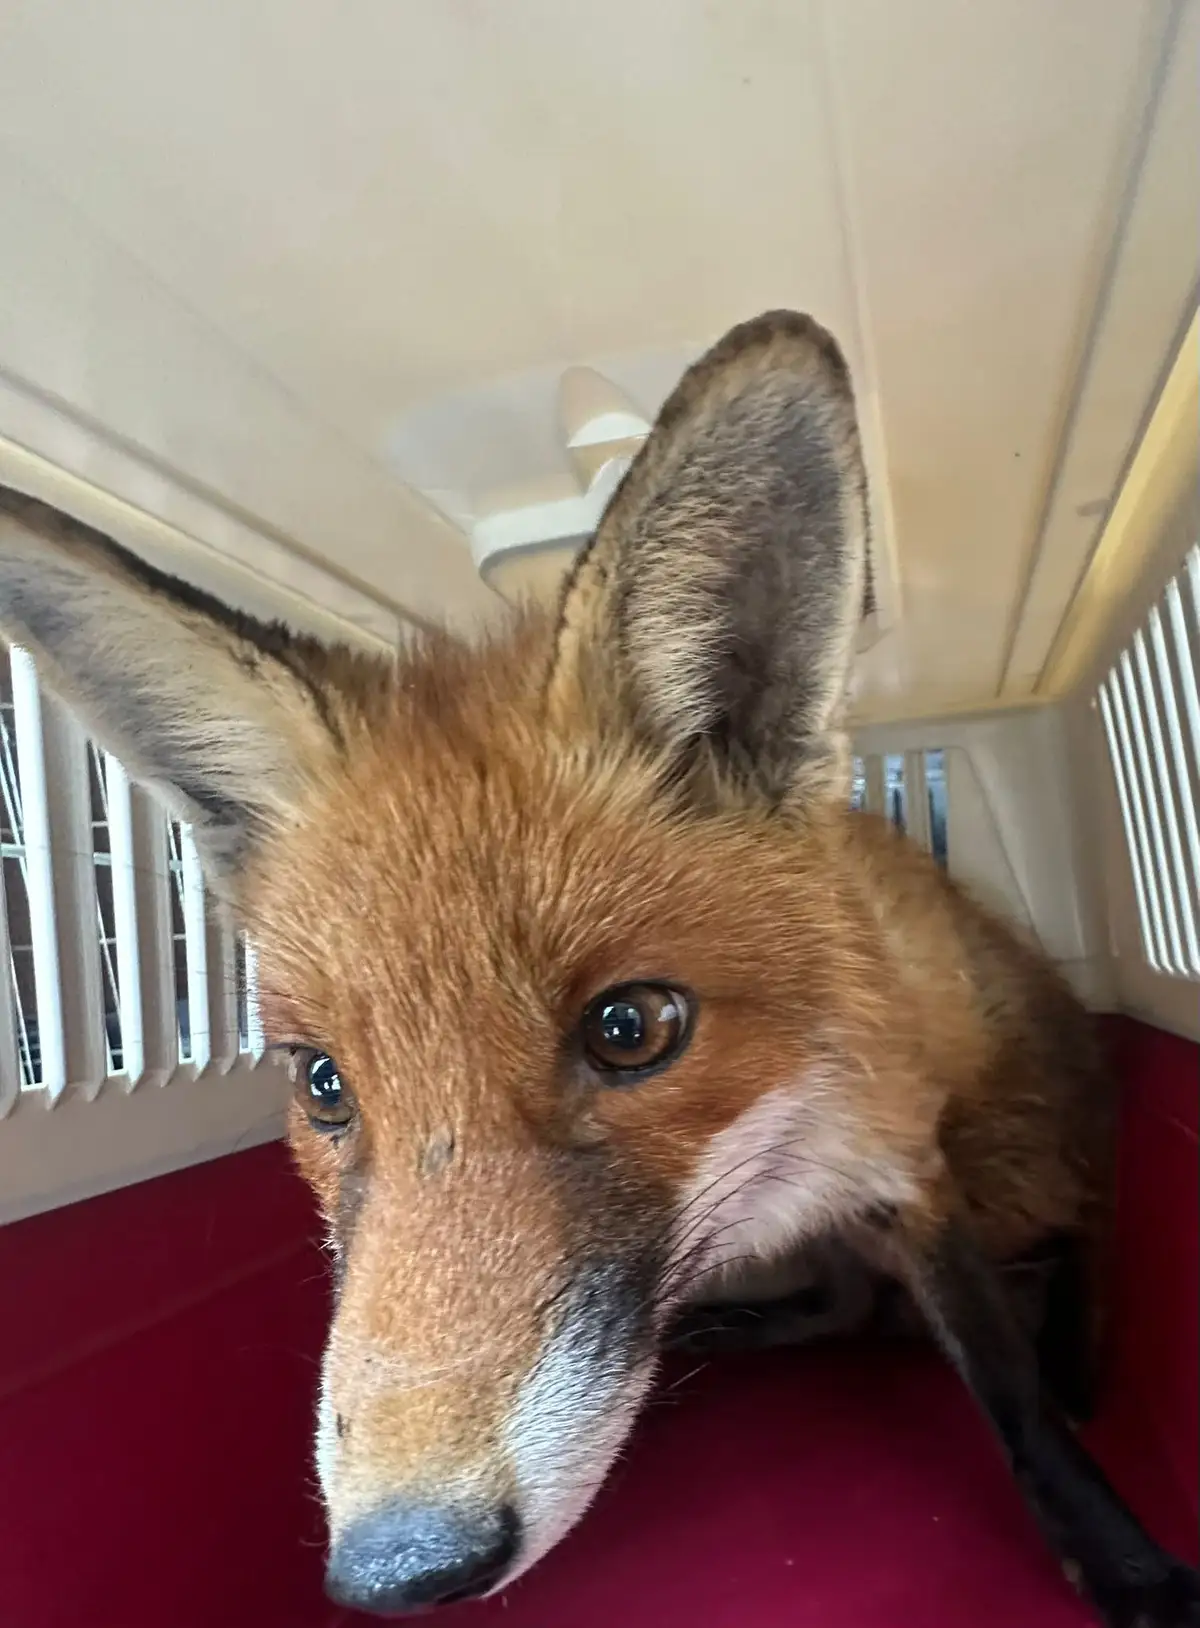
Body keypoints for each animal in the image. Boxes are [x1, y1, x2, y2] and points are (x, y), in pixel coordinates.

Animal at [1, 312, 1197, 1626]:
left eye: (632, 1027)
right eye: (322, 1083)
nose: (398, 1564)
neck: (767, 1157)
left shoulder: (906, 1169)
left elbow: (1011, 1391)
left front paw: (1123, 1555)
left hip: (1019, 1160)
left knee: (1080, 1222)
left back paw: (1076, 1337)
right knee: (851, 1306)